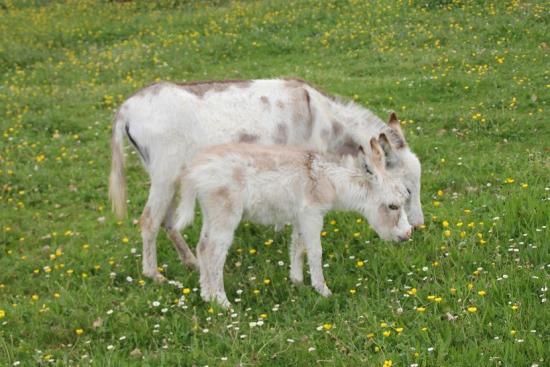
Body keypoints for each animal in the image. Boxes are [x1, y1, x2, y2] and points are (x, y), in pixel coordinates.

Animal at [175, 139, 412, 310]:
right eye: (393, 206)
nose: (408, 235)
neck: (329, 179)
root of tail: (195, 169)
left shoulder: (300, 217)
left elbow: (298, 248)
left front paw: (297, 282)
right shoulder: (312, 215)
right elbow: (315, 251)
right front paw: (323, 290)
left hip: (211, 214)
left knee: (202, 248)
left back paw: (206, 295)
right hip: (225, 215)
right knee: (215, 254)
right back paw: (222, 302)